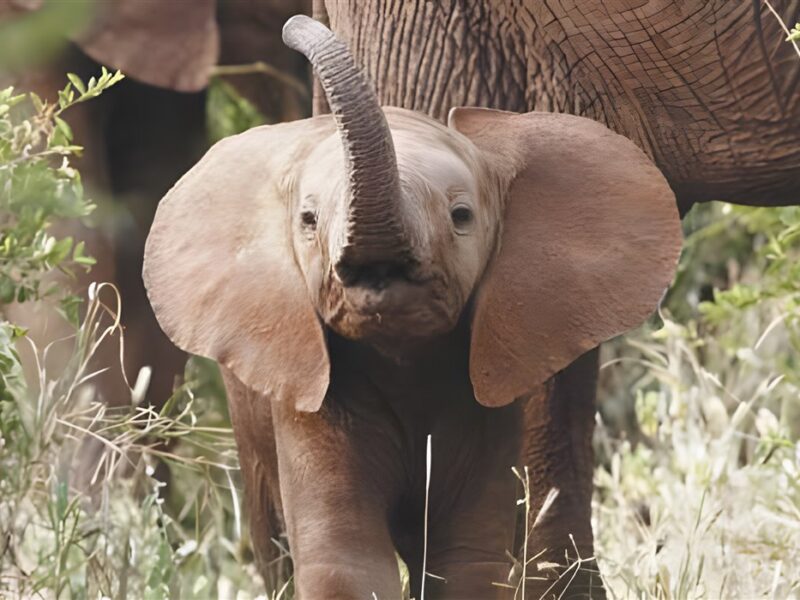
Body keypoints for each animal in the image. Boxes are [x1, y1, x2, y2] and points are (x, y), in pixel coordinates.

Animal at [143, 16, 683, 599]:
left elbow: (467, 560)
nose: (293, 26)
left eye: (462, 215)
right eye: (308, 220)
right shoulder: (311, 392)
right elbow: (346, 558)